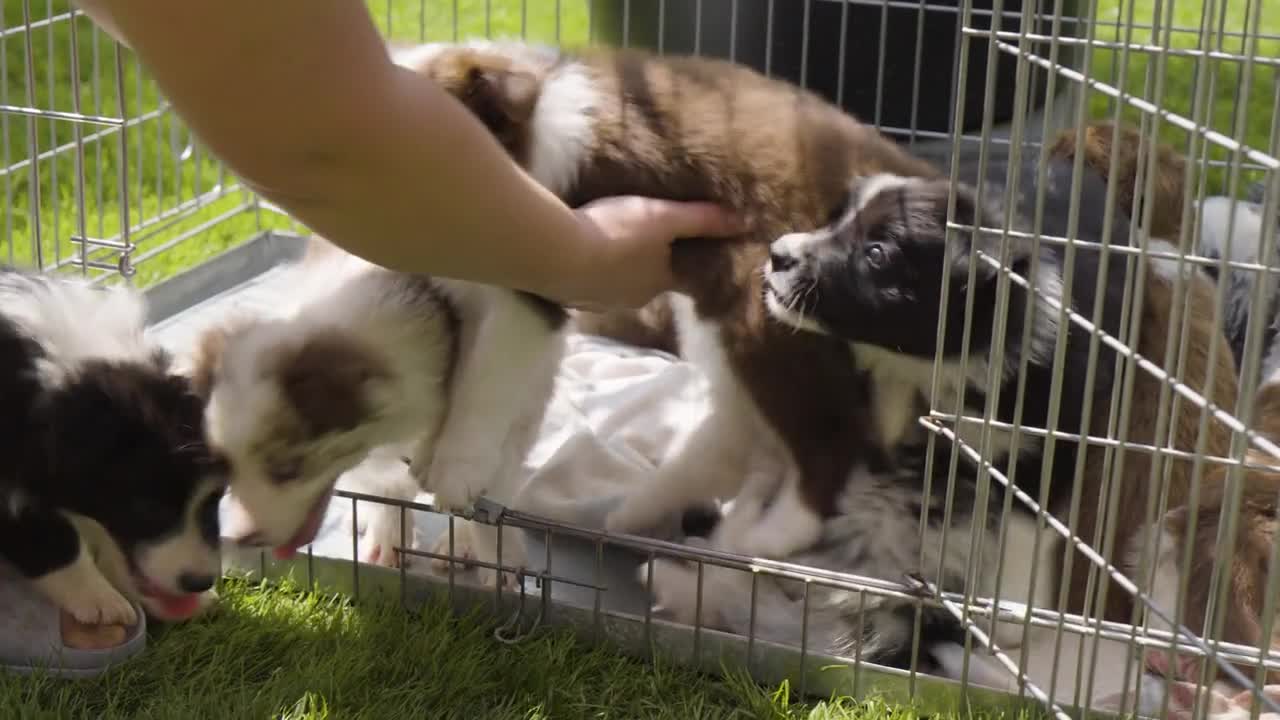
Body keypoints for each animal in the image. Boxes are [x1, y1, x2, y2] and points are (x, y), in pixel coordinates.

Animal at [192, 238, 568, 586]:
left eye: (288, 470)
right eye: (226, 467)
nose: (241, 539)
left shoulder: (516, 388)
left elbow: (488, 487)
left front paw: (497, 559)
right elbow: (382, 489)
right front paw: (387, 542)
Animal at [394, 37, 947, 561]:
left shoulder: (525, 294)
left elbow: (484, 386)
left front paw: (456, 470)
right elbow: (473, 379)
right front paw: (436, 454)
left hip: (774, 316)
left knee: (829, 439)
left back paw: (771, 536)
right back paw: (643, 512)